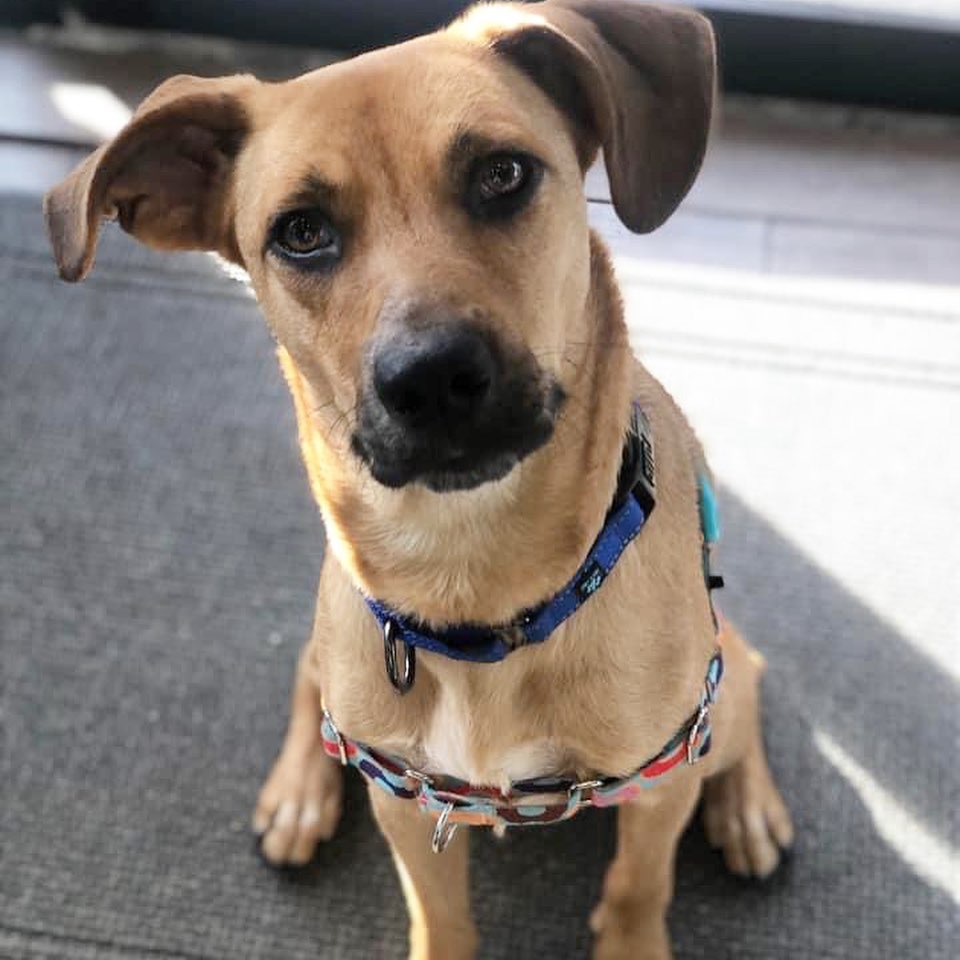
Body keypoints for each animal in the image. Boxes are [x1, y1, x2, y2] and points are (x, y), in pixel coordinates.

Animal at [45, 3, 792, 956]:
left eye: (503, 174)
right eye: (300, 231)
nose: (431, 378)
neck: (475, 583)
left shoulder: (660, 782)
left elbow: (636, 885)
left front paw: (632, 936)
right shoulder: (409, 800)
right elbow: (439, 915)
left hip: (716, 713)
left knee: (752, 680)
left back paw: (748, 808)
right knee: (308, 678)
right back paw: (299, 791)